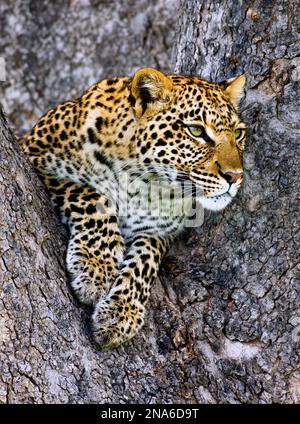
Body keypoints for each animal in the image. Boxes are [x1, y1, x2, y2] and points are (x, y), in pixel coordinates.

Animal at [19, 68, 247, 348]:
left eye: (238, 134)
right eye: (195, 130)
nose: (235, 176)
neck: (143, 183)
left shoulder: (159, 230)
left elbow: (145, 261)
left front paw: (121, 313)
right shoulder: (34, 157)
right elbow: (91, 196)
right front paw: (96, 265)